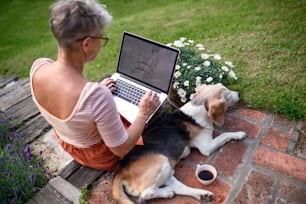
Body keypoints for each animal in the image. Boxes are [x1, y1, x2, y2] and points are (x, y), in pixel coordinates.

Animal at [112, 83, 246, 203]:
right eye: (226, 92)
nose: (239, 93)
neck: (199, 106)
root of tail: (121, 171)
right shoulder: (206, 147)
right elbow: (225, 135)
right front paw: (238, 134)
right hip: (163, 163)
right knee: (146, 194)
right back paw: (167, 193)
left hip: (168, 171)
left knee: (178, 188)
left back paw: (202, 194)